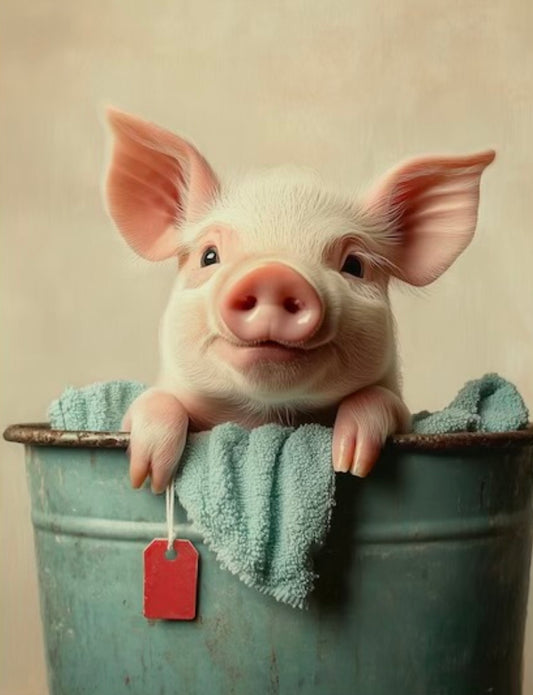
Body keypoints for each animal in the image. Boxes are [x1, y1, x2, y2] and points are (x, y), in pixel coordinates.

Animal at [104, 108, 494, 493]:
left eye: (354, 265)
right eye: (209, 256)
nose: (273, 274)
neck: (267, 417)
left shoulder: (404, 413)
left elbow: (382, 403)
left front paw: (350, 461)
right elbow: (153, 402)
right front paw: (146, 476)